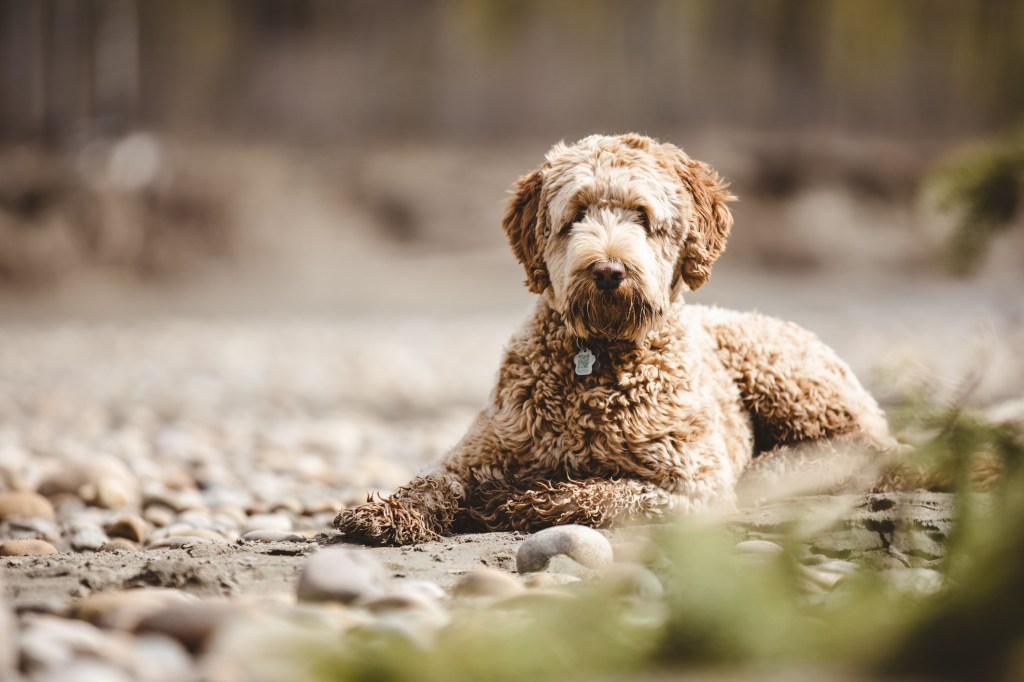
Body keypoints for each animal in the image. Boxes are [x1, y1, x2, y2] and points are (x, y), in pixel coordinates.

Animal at [337, 134, 897, 548]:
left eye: (644, 217)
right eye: (576, 215)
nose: (608, 270)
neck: (600, 355)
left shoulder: (691, 488)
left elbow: (599, 494)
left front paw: (510, 502)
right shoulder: (475, 452)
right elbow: (436, 480)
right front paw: (390, 512)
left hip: (782, 373)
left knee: (867, 450)